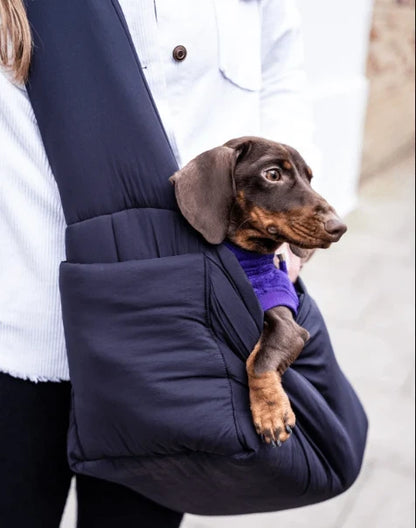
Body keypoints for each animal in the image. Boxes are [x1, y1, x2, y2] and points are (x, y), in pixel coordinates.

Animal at [167, 136, 346, 446]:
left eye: (309, 178)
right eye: (272, 174)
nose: (339, 227)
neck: (248, 258)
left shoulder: (288, 325)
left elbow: (259, 359)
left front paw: (271, 412)